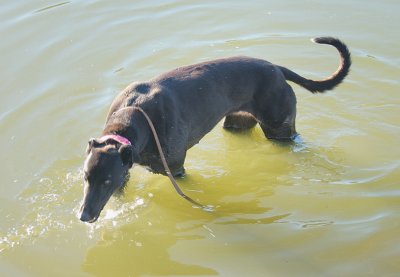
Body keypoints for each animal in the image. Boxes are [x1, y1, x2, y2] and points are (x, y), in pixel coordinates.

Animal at [79, 37, 352, 222]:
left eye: (106, 180)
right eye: (86, 177)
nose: (84, 216)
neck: (134, 113)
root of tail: (276, 69)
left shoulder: (175, 169)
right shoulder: (125, 171)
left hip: (279, 128)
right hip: (237, 123)